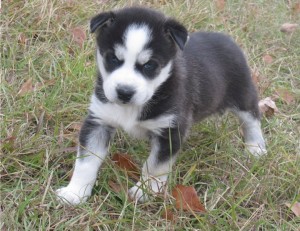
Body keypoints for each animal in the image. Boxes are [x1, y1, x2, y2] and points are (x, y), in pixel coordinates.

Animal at [56, 6, 268, 204]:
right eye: (113, 58)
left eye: (149, 65)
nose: (124, 92)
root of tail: (226, 39)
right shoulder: (99, 121)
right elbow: (86, 162)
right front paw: (75, 193)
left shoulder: (169, 131)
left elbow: (154, 167)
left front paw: (144, 191)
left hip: (243, 95)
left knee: (252, 119)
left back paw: (255, 147)